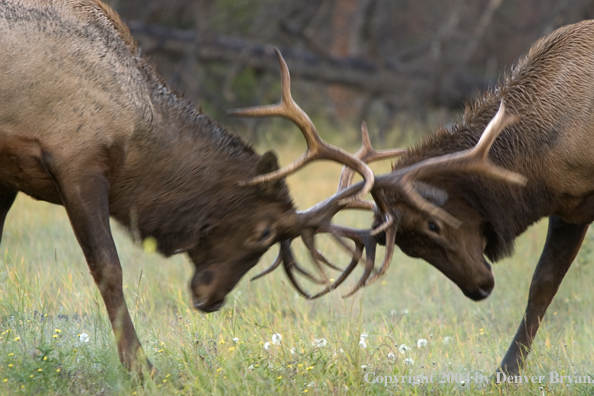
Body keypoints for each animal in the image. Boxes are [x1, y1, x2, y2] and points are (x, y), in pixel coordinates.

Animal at [0, 0, 394, 372]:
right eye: (264, 232)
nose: (212, 299)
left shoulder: (11, 175)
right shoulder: (77, 161)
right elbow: (110, 269)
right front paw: (140, 367)